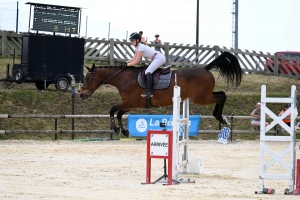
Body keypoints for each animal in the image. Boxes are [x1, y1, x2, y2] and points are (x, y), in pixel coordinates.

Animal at [79, 50, 241, 137]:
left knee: (221, 96)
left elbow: (112, 109)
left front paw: (116, 129)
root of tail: (206, 68)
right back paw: (221, 117)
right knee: (221, 94)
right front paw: (124, 131)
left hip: (201, 98)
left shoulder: (130, 102)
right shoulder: (131, 104)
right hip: (204, 95)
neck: (124, 78)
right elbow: (118, 113)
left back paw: (220, 117)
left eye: (87, 78)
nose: (81, 95)